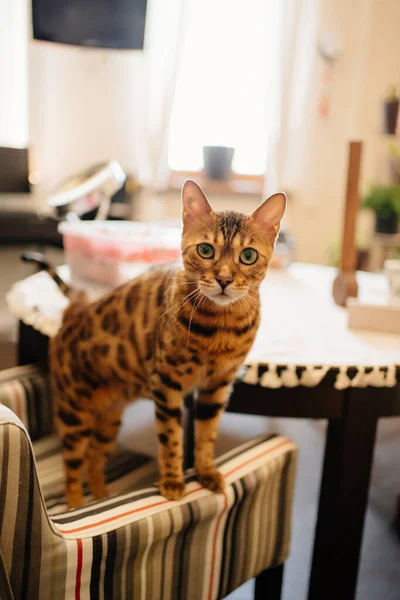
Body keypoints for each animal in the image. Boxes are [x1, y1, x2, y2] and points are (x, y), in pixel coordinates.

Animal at [21, 179, 286, 506]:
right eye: (206, 250)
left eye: (248, 255)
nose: (223, 280)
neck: (220, 329)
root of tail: (76, 311)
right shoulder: (166, 385)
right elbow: (170, 438)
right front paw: (172, 481)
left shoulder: (217, 387)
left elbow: (206, 435)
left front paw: (207, 472)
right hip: (74, 413)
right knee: (72, 469)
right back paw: (77, 505)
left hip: (110, 418)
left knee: (95, 459)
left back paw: (102, 495)